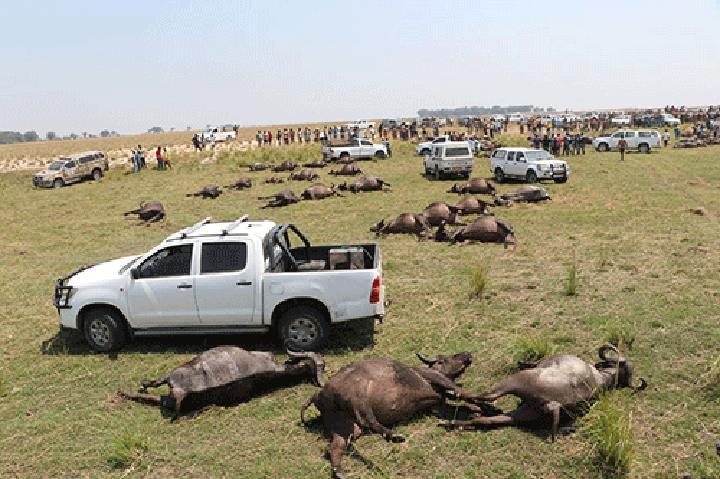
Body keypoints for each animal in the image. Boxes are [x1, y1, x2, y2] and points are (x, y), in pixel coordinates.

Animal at [118, 346, 324, 418]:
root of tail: (177, 390)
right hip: (174, 381)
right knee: (157, 387)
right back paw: (136, 387)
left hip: (175, 385)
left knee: (160, 392)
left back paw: (130, 391)